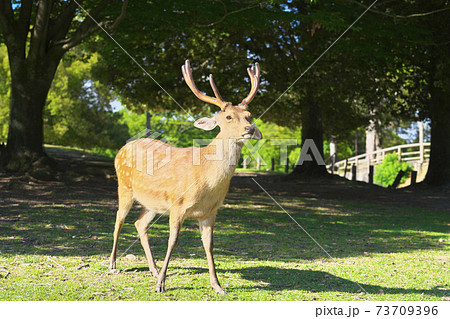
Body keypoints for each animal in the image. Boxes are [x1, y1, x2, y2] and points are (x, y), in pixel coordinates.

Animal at [109, 60, 262, 296]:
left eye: (250, 116)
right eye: (228, 117)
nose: (250, 129)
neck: (206, 179)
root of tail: (122, 149)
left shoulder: (211, 211)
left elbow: (209, 244)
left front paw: (217, 285)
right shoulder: (177, 204)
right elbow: (173, 241)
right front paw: (161, 284)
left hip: (151, 204)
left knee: (140, 224)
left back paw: (153, 269)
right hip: (124, 186)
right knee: (119, 219)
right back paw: (113, 264)